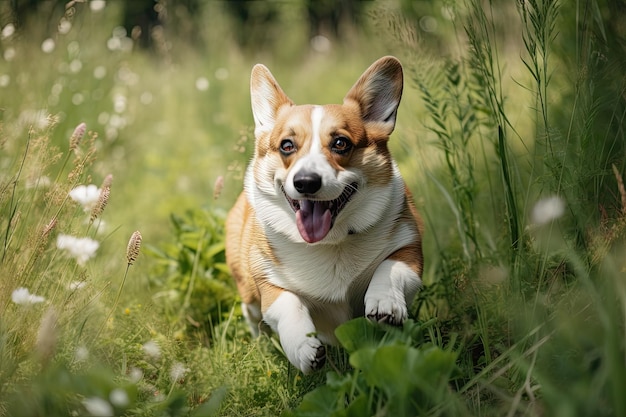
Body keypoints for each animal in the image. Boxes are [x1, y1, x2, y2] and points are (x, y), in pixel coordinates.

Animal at [225, 56, 424, 374]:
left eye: (341, 143)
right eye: (287, 146)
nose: (306, 182)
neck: (331, 242)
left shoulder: (409, 246)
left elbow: (391, 267)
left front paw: (385, 303)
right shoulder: (269, 284)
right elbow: (287, 304)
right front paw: (302, 348)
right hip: (248, 291)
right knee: (253, 316)